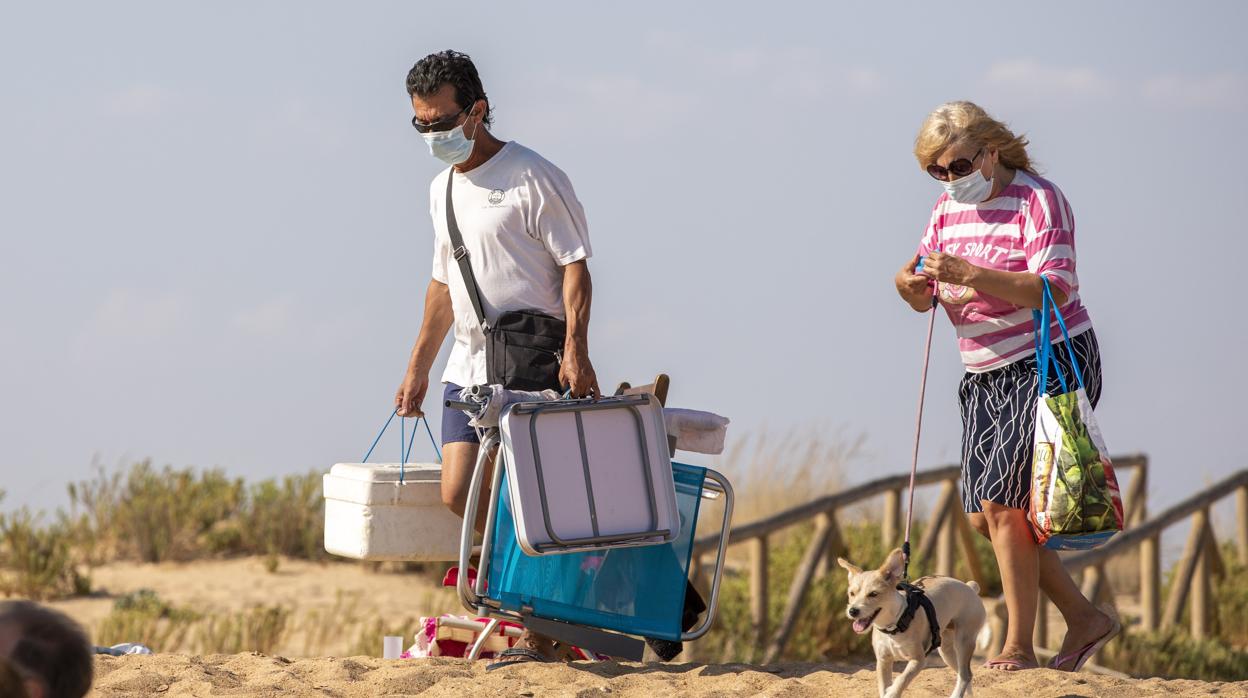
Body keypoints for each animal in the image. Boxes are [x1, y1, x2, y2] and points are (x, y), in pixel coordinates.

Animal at [838, 549, 983, 694]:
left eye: (873, 594)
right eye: (851, 593)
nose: (852, 611)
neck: (894, 627)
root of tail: (970, 588)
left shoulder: (918, 660)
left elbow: (901, 681)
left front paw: (891, 691)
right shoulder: (883, 661)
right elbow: (884, 686)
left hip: (963, 642)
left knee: (965, 675)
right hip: (945, 650)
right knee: (963, 674)